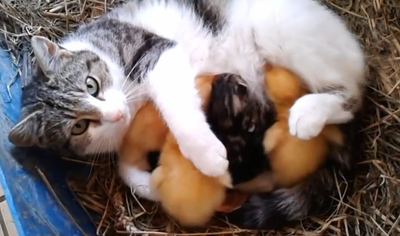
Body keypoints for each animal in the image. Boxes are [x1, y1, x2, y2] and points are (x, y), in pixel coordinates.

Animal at [8, 0, 366, 183]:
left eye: (91, 84)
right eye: (79, 127)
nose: (117, 114)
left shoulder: (158, 51)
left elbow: (177, 109)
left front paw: (207, 154)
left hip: (282, 35)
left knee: (354, 97)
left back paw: (309, 114)